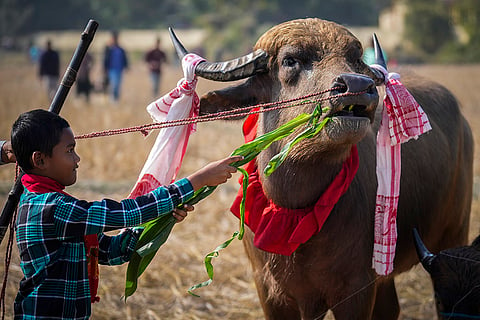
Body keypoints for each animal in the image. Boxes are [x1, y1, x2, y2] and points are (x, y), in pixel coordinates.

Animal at [171, 18, 474, 318]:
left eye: (354, 59)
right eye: (290, 60)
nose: (357, 84)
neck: (292, 211)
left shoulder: (356, 290)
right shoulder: (269, 291)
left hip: (453, 237)